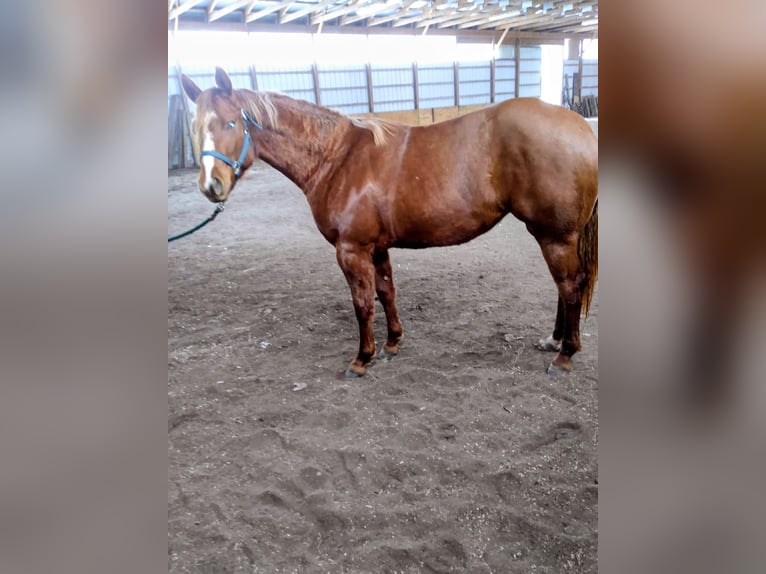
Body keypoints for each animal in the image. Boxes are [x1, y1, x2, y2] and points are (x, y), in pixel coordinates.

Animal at [180, 67, 598, 378]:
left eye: (231, 124)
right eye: (196, 127)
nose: (211, 186)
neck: (337, 158)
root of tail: (581, 127)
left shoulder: (351, 250)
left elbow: (362, 304)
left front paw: (361, 359)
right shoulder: (376, 247)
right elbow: (386, 293)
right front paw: (393, 343)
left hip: (555, 235)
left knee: (570, 287)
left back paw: (565, 354)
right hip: (556, 235)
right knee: (564, 288)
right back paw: (554, 340)